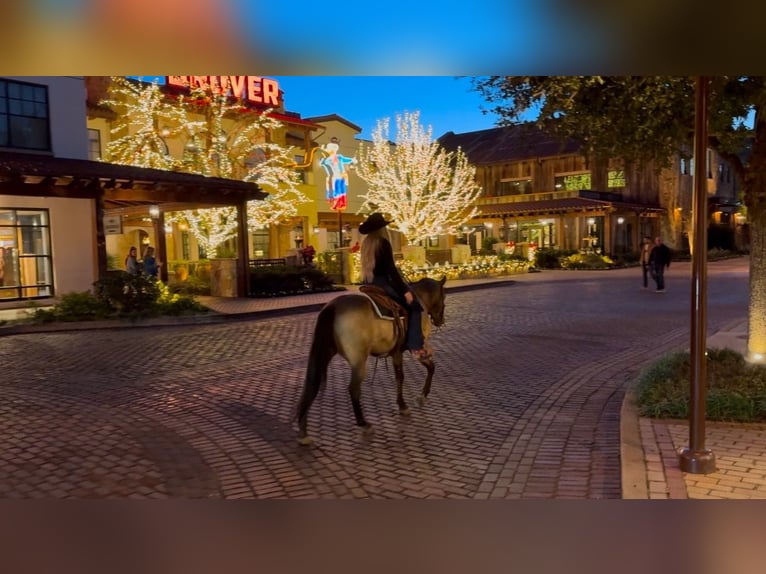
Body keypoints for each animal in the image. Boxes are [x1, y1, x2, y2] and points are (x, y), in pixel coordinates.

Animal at [296, 276, 450, 448]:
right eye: (443, 297)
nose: (440, 320)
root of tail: (333, 306)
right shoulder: (416, 349)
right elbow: (428, 368)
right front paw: (420, 397)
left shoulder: (397, 352)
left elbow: (401, 376)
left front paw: (404, 404)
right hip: (358, 361)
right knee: (353, 389)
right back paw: (364, 423)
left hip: (325, 353)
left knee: (311, 387)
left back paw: (303, 432)